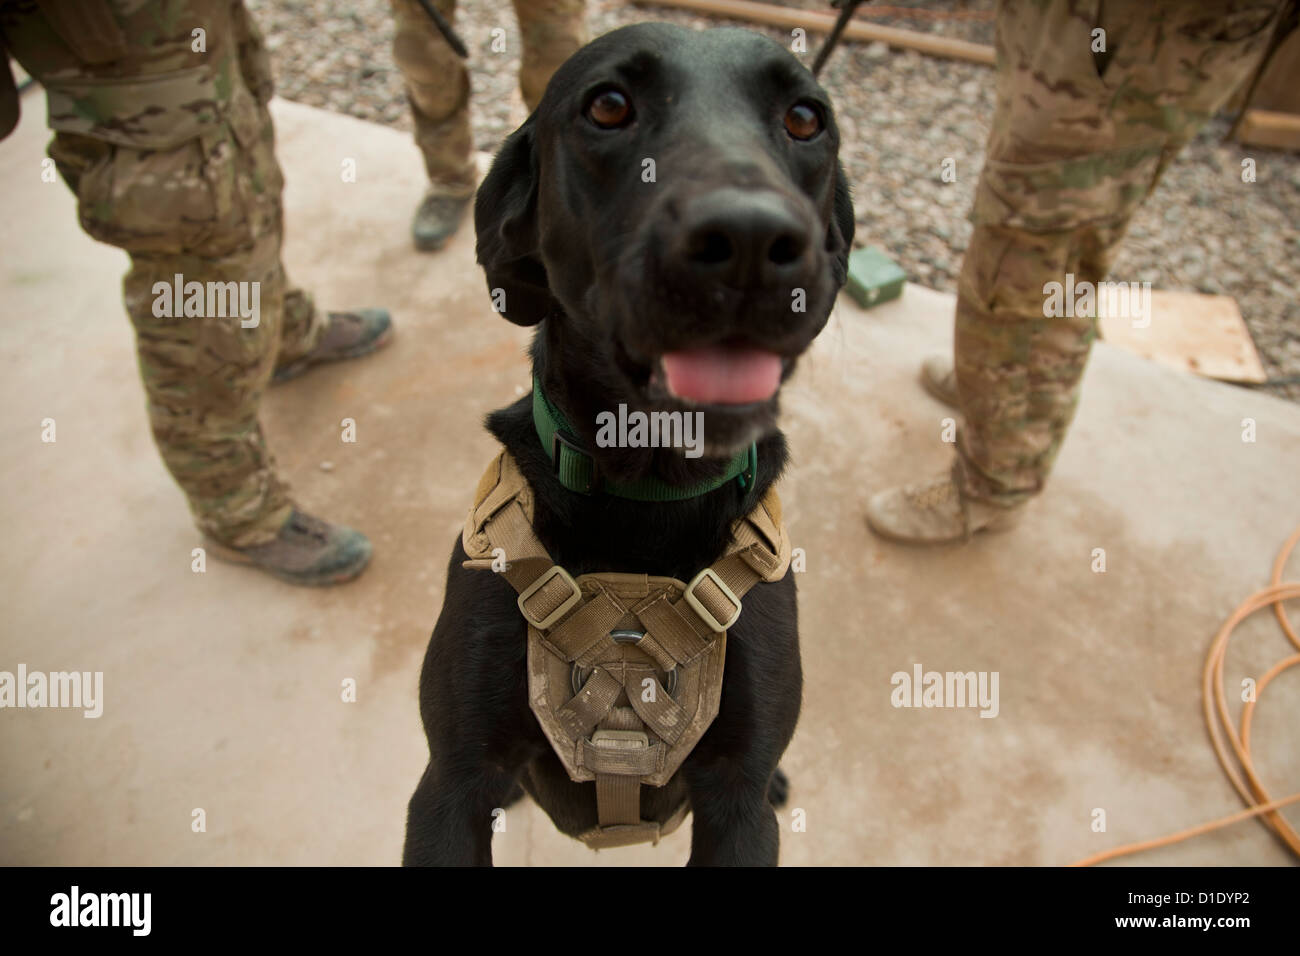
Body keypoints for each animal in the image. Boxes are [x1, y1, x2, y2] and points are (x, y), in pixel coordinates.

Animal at [405, 22, 852, 863]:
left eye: (805, 118)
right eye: (608, 106)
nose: (750, 237)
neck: (648, 490)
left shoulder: (738, 802)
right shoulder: (450, 786)